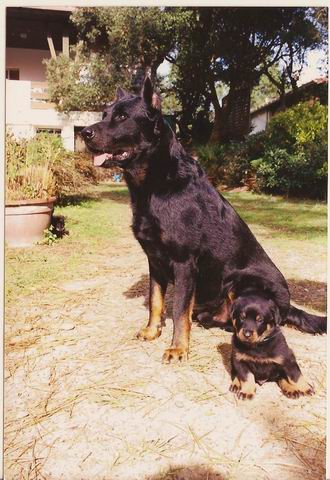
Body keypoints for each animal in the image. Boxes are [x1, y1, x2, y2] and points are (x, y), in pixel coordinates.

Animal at [81, 79, 326, 364]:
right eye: (104, 115)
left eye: (122, 117)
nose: (84, 133)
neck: (156, 184)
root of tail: (289, 305)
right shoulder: (154, 261)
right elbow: (155, 301)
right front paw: (152, 331)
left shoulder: (184, 263)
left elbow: (178, 311)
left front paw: (178, 348)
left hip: (241, 282)